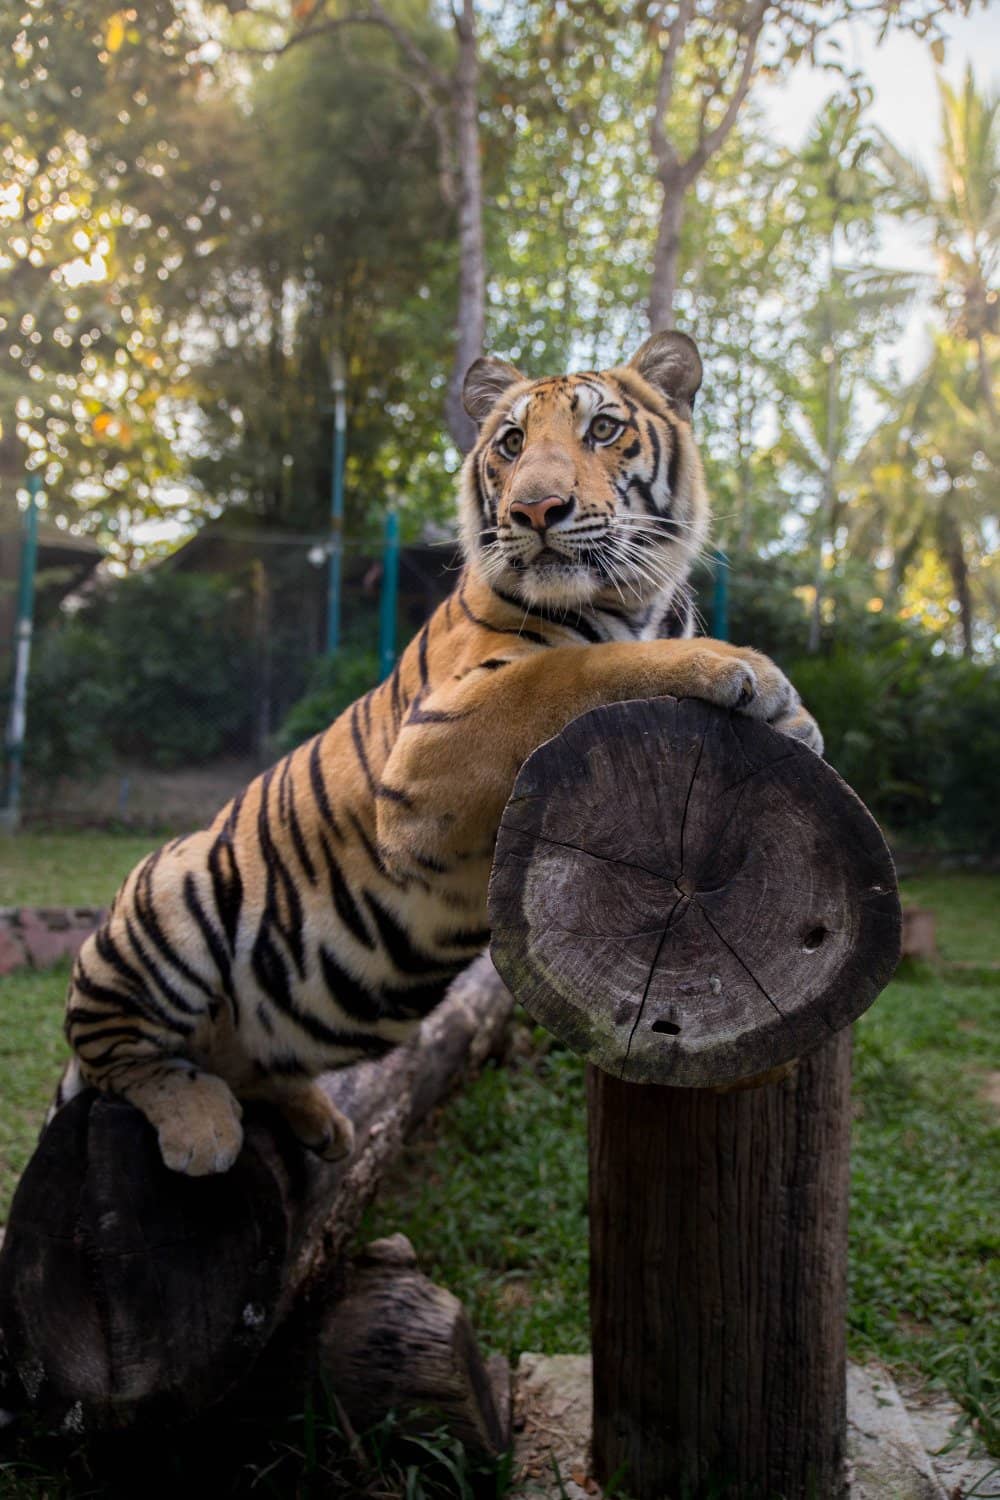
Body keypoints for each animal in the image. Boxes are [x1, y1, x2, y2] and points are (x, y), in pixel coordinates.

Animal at [58, 329, 822, 1176]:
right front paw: (748, 672)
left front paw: (792, 722)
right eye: (512, 442)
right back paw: (201, 1127)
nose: (535, 509)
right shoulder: (436, 744)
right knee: (118, 1058)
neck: (640, 604)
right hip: (167, 893)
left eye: (602, 429)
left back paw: (320, 1123)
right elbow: (582, 668)